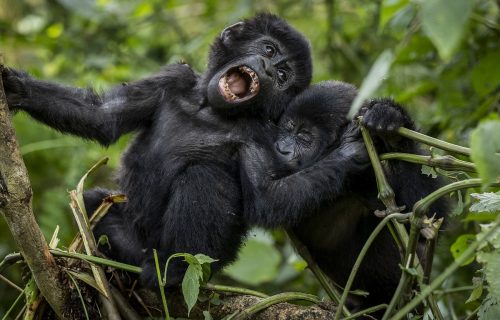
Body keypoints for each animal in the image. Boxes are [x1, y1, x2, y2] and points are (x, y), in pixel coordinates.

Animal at [0, 13, 312, 288]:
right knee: (92, 202)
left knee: (204, 177)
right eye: (269, 49)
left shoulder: (263, 135)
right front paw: (18, 88)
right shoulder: (173, 78)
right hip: (131, 242)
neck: (208, 109)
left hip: (204, 262)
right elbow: (103, 115)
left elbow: (269, 200)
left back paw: (174, 269)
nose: (269, 68)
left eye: (283, 75)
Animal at [240, 81, 448, 312]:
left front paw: (392, 124)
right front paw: (349, 153)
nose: (280, 148)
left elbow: (425, 219)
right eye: (287, 127)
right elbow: (265, 198)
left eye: (304, 137)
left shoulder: (370, 174)